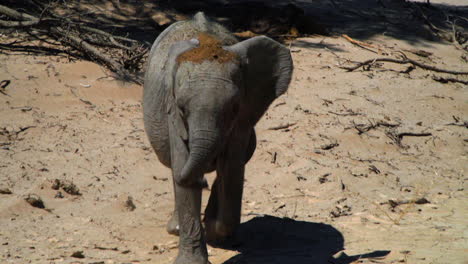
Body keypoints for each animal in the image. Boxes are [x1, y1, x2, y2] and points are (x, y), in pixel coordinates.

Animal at [143, 11, 292, 264]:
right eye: (181, 108)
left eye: (234, 107)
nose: (201, 181)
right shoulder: (172, 113)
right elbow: (182, 167)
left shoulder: (242, 118)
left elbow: (231, 168)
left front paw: (214, 230)